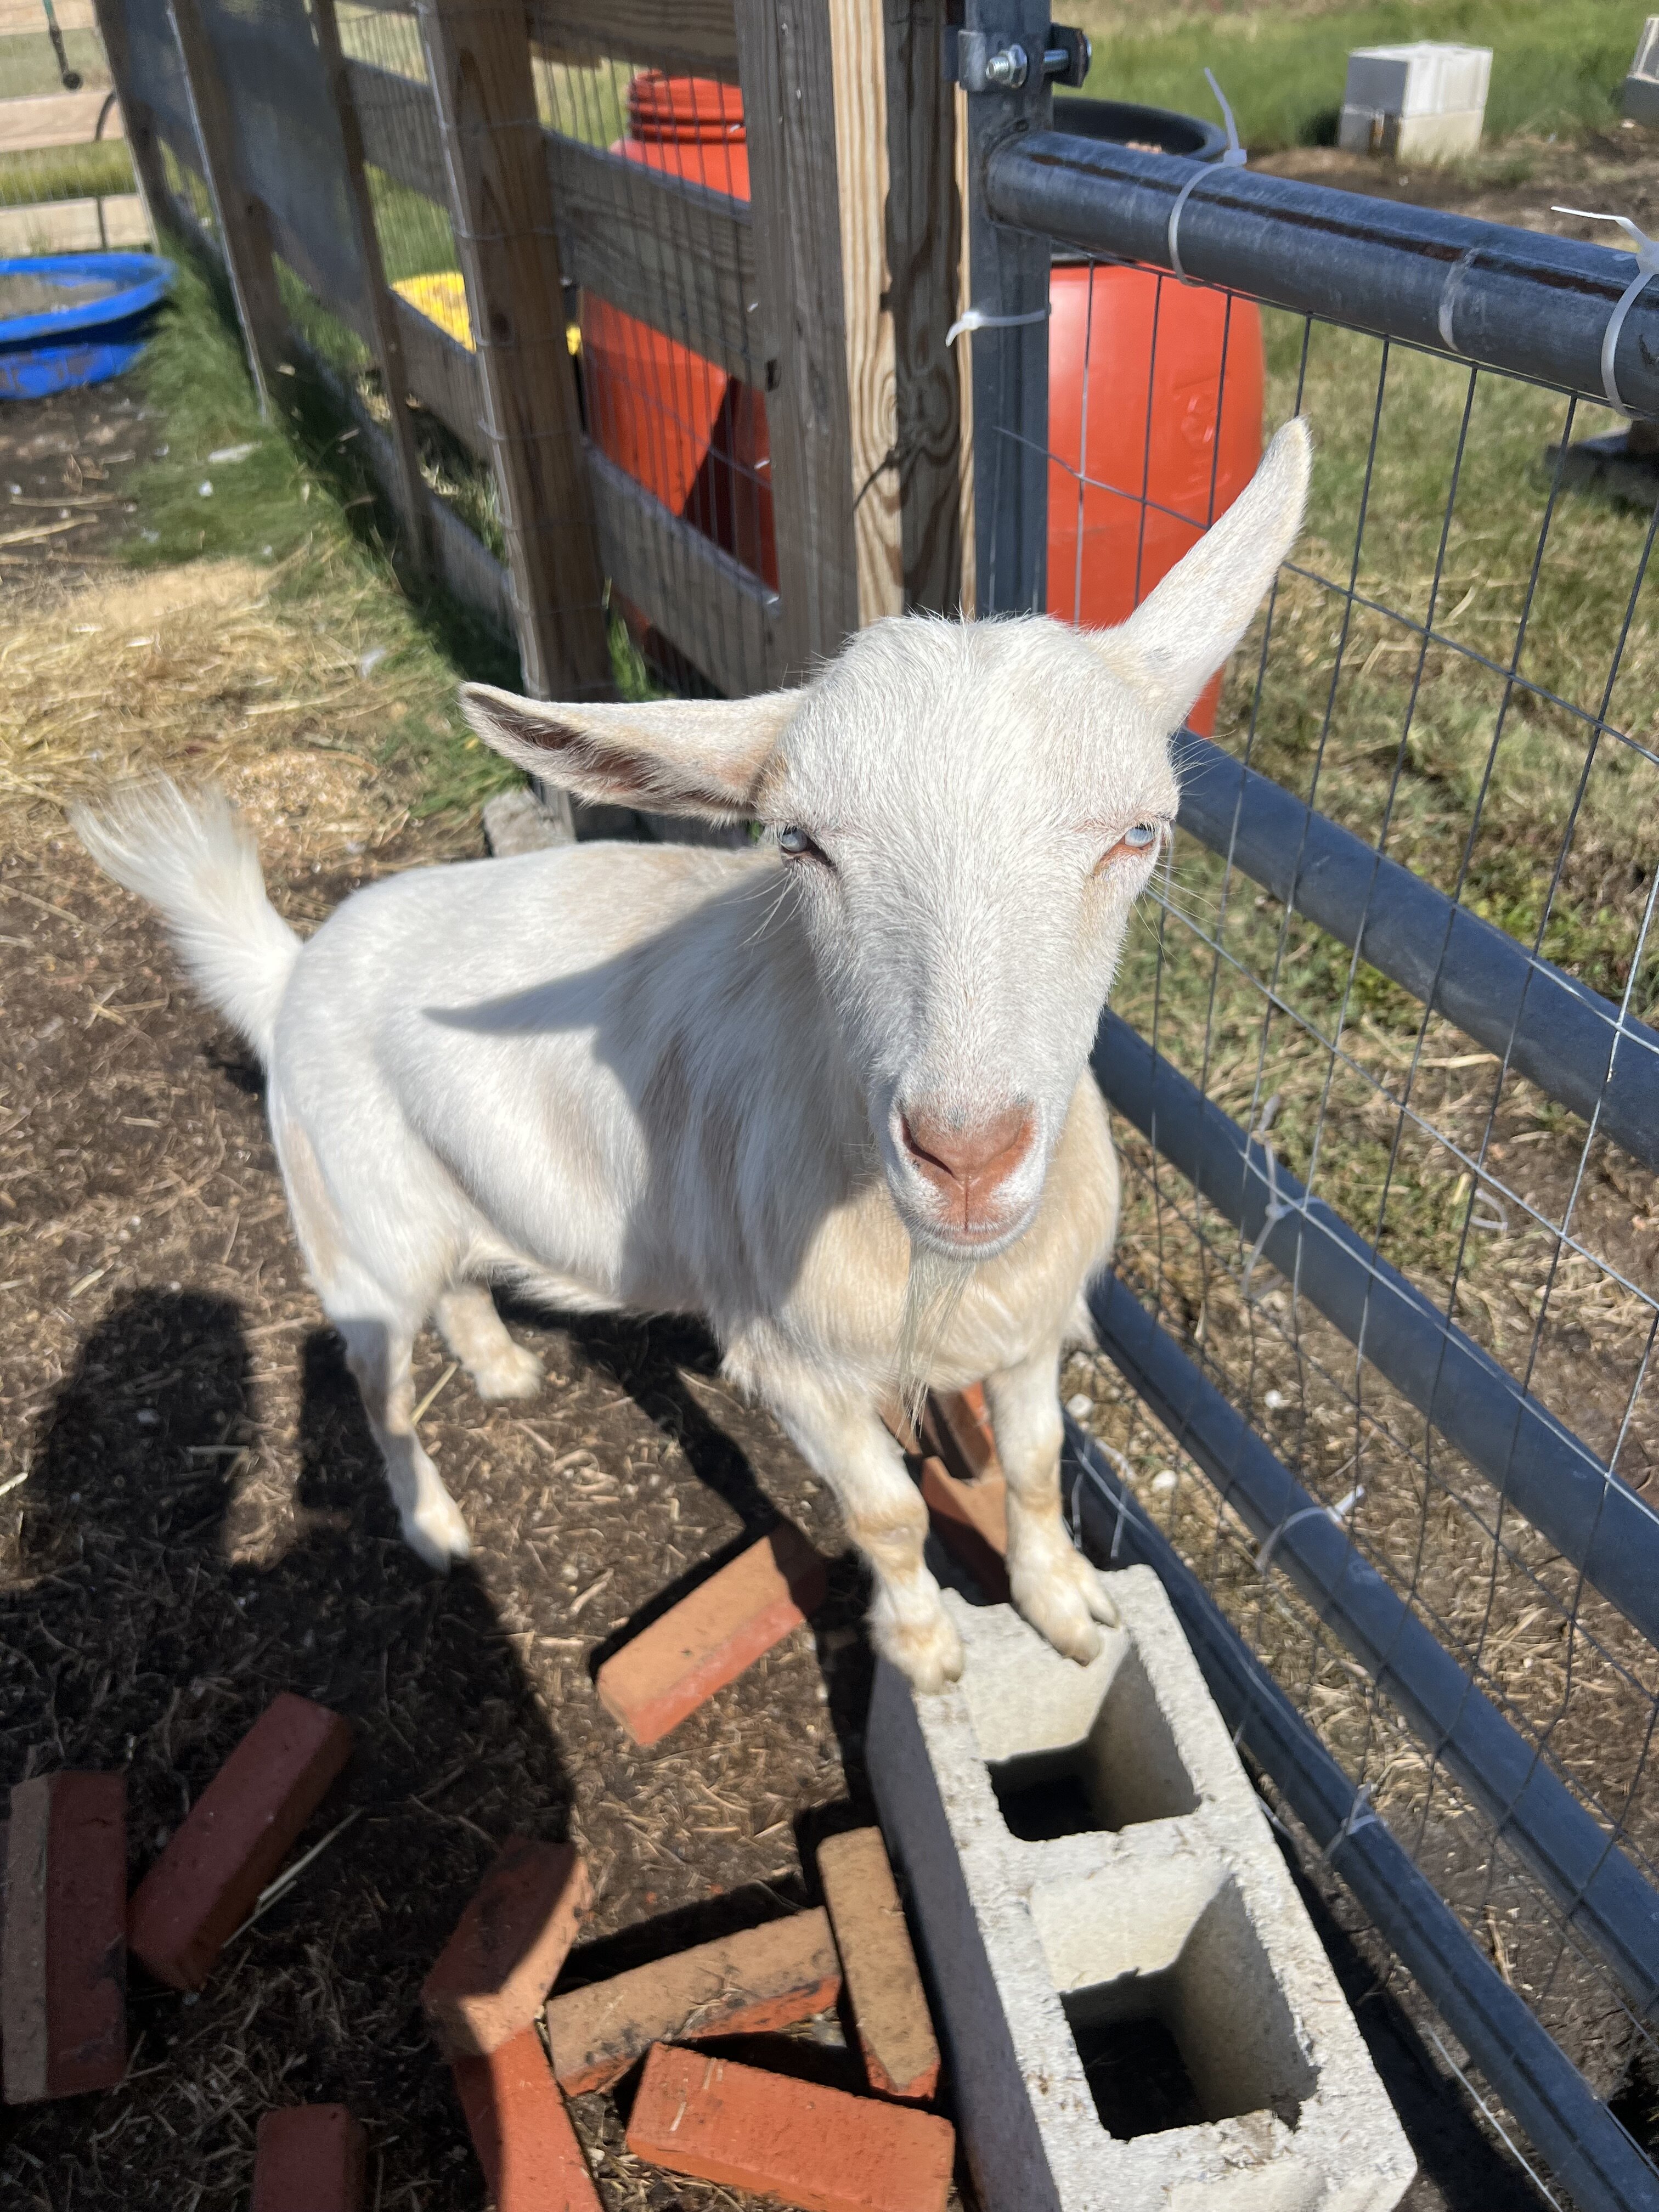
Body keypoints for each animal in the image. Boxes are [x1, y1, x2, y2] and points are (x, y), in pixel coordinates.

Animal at [72, 419, 1309, 1691]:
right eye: (798, 843)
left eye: (1141, 833)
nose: (966, 1157)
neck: (928, 1261)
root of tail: (289, 970)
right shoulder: (789, 1360)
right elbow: (887, 1515)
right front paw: (924, 1653)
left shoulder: (1027, 1328)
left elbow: (1030, 1469)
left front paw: (1067, 1614)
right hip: (358, 1229)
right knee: (379, 1387)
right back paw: (432, 1525)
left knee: (457, 1286)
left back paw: (502, 1366)